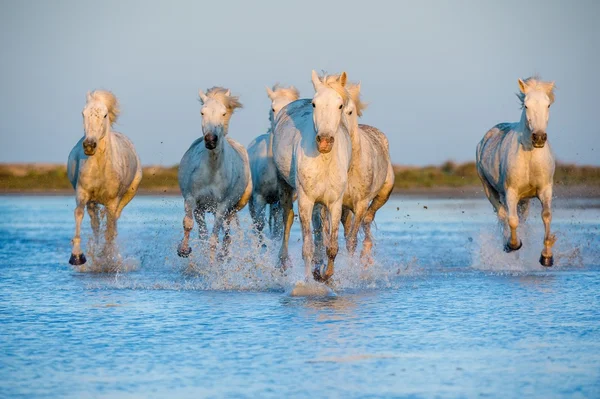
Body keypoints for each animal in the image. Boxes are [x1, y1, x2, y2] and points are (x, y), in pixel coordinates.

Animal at [67, 90, 142, 266]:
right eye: (83, 113)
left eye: (105, 115)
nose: (89, 145)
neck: (100, 166)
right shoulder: (82, 193)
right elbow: (79, 214)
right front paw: (77, 257)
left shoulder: (112, 201)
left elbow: (110, 227)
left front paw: (108, 257)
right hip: (92, 202)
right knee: (96, 224)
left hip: (126, 196)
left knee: (113, 222)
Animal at [178, 87, 253, 260]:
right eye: (202, 112)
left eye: (223, 113)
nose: (211, 140)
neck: (211, 171)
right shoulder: (191, 199)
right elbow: (189, 224)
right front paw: (183, 250)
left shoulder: (222, 206)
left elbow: (214, 239)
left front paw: (212, 262)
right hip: (202, 208)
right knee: (206, 232)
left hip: (232, 208)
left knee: (226, 234)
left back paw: (222, 255)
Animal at [272, 71, 352, 282]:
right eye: (314, 104)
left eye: (340, 105)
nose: (324, 141)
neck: (324, 160)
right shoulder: (306, 200)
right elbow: (306, 247)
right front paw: (309, 281)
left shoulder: (334, 203)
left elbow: (331, 246)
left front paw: (325, 275)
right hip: (286, 188)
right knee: (287, 220)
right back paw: (283, 262)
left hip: (320, 204)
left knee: (320, 231)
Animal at [478, 77, 556, 268]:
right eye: (526, 105)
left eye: (548, 104)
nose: (539, 137)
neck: (530, 155)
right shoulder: (511, 191)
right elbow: (512, 220)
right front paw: (513, 245)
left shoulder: (545, 189)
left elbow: (546, 216)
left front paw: (546, 257)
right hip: (489, 189)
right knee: (502, 215)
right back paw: (508, 244)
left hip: (525, 199)